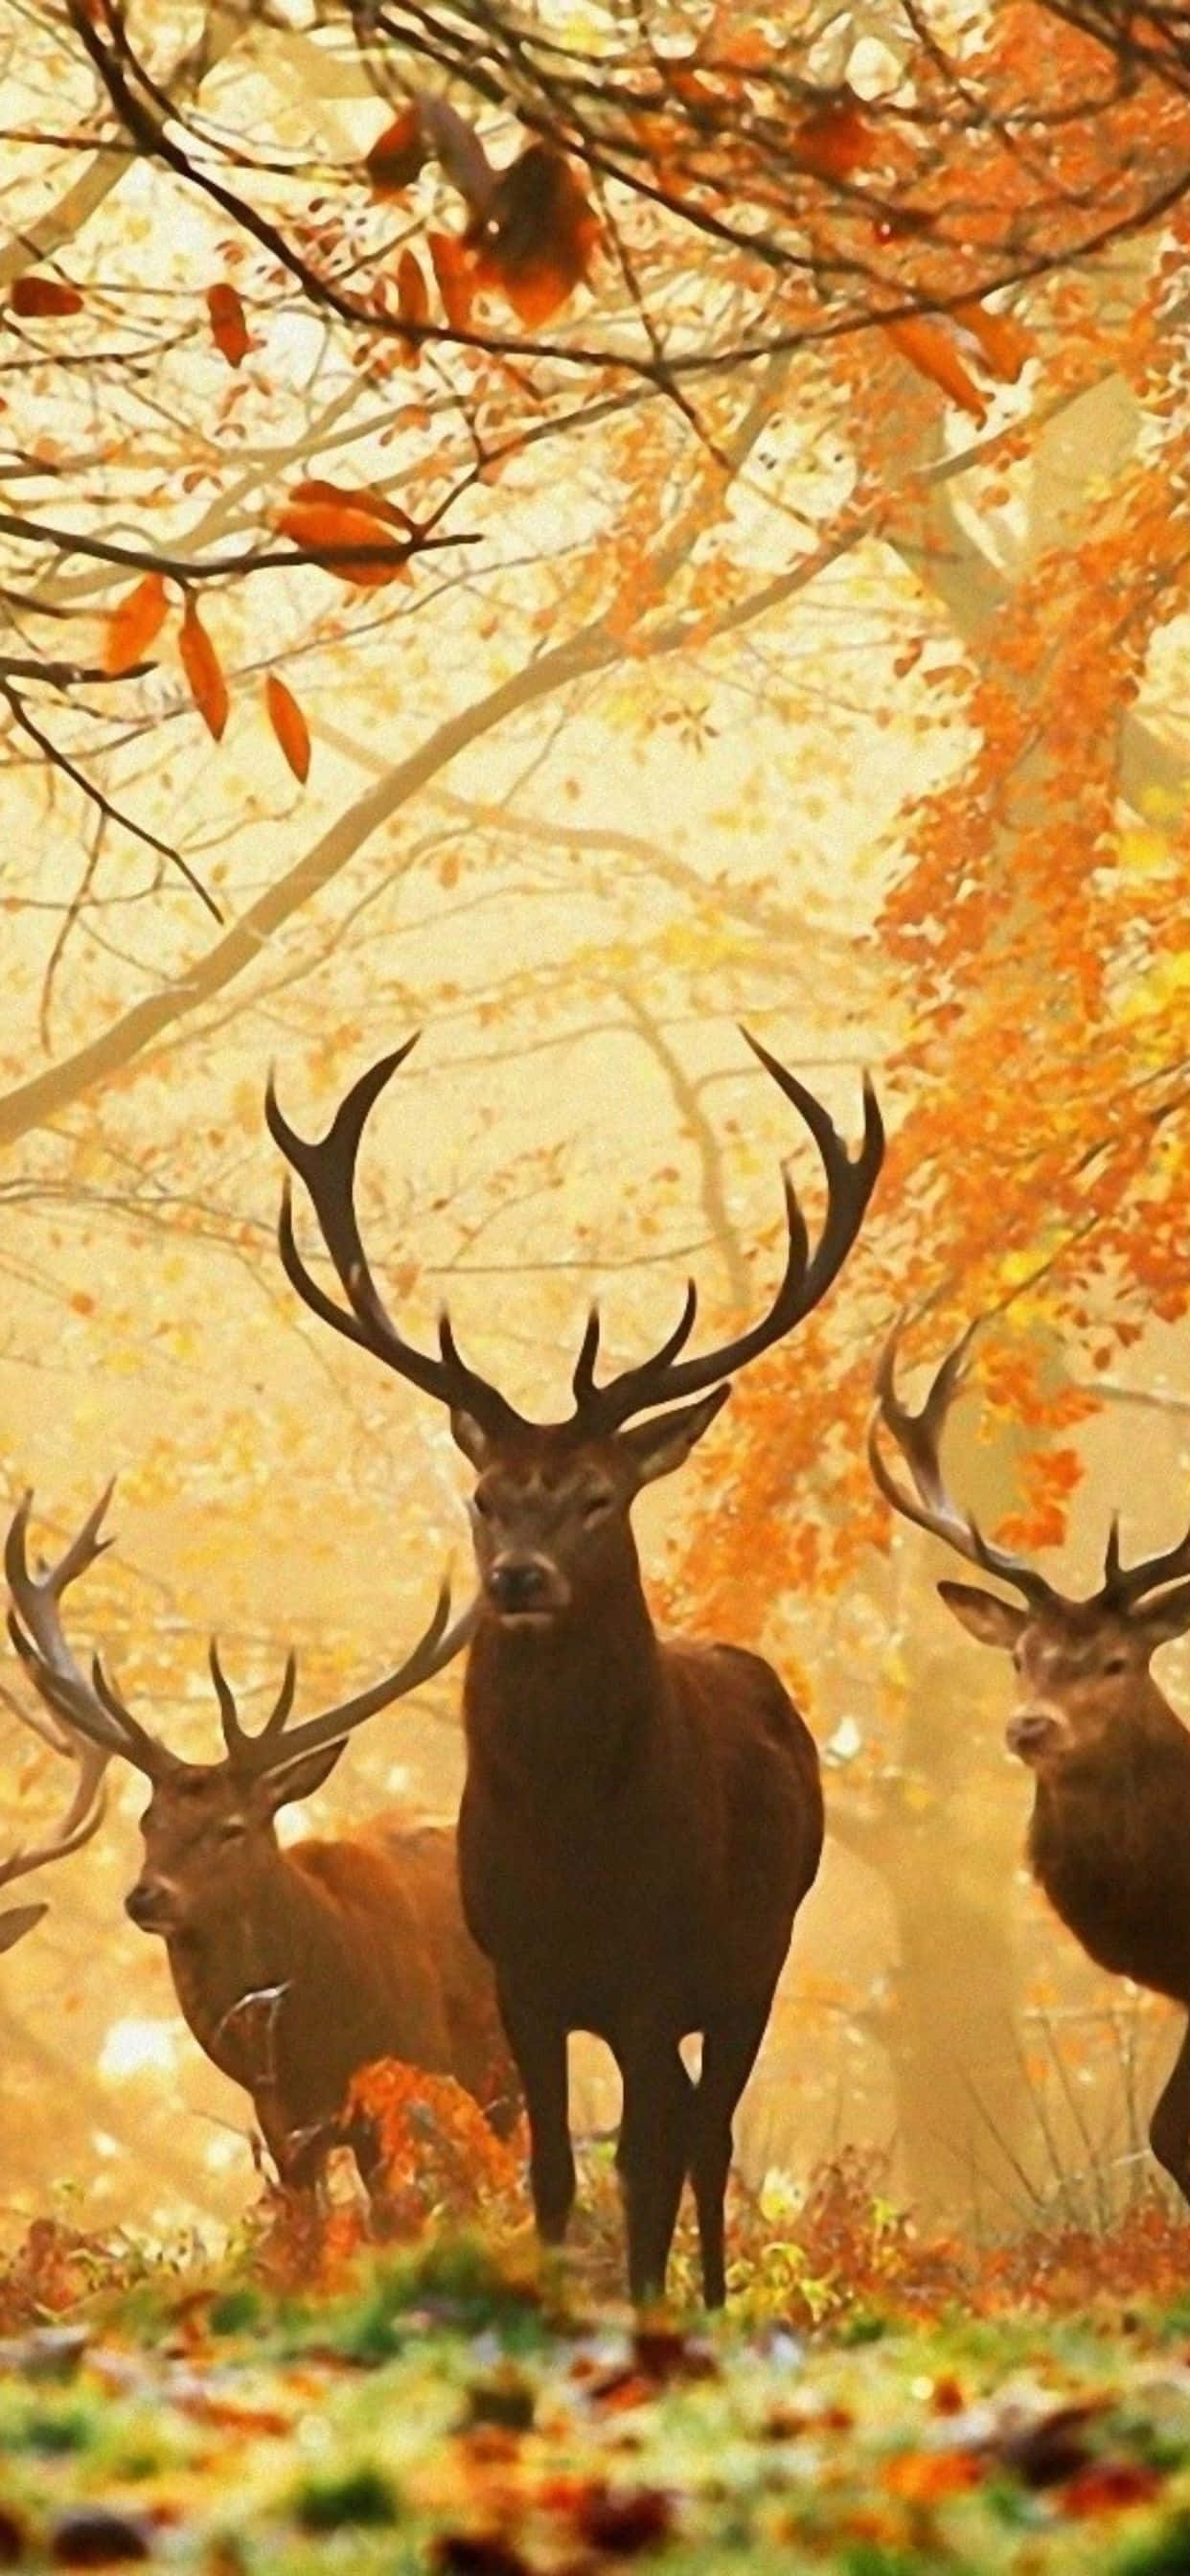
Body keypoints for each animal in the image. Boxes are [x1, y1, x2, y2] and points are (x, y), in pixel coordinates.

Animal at [265, 1027, 885, 2303]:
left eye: (599, 1497)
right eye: (487, 1496)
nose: (518, 1579)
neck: (575, 1849)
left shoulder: (656, 1974)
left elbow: (646, 2164)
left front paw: (645, 2308)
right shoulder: (523, 1978)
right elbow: (551, 2172)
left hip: (757, 1955)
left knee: (709, 2135)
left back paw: (709, 2298)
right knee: (690, 2126)